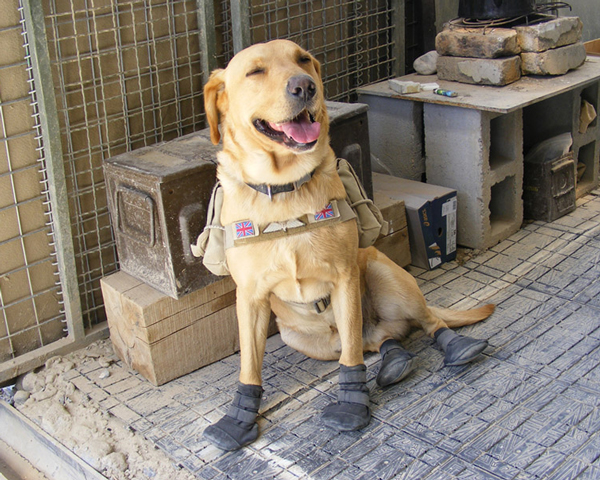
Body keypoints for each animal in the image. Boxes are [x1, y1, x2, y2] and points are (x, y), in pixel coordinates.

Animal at [202, 38, 492, 450]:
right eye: (255, 71)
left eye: (303, 59)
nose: (305, 86)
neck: (284, 190)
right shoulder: (251, 298)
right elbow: (249, 367)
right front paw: (239, 416)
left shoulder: (343, 279)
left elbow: (352, 360)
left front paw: (352, 403)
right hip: (307, 339)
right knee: (376, 339)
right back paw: (395, 361)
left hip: (388, 279)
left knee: (417, 323)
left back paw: (454, 346)